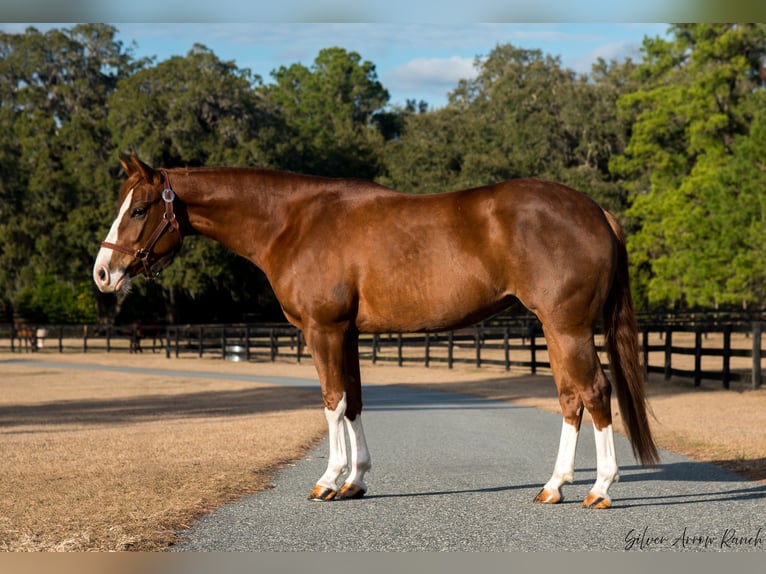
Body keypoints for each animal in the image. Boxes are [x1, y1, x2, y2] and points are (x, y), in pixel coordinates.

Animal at [94, 155, 660, 510]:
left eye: (139, 209)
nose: (102, 273)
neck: (293, 222)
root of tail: (596, 211)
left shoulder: (322, 330)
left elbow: (331, 401)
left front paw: (327, 481)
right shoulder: (345, 333)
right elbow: (355, 400)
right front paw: (355, 481)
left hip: (567, 328)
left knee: (595, 392)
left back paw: (600, 489)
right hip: (556, 330)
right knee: (570, 398)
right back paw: (554, 486)